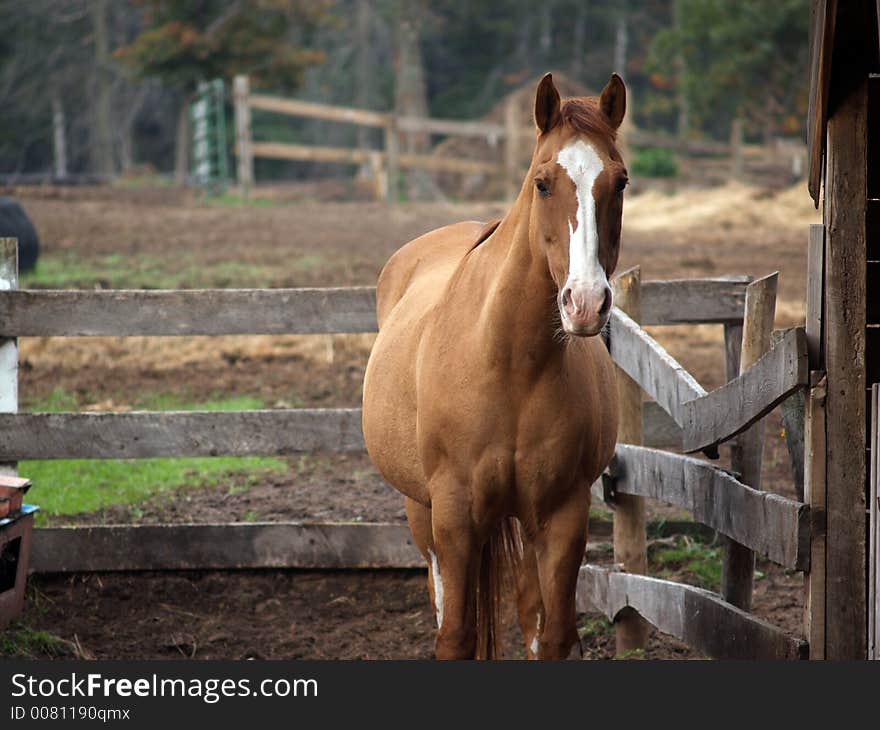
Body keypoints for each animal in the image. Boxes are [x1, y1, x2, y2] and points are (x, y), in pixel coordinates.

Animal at [362, 74, 624, 660]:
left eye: (619, 182)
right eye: (542, 183)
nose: (586, 302)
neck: (508, 365)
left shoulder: (561, 515)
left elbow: (553, 636)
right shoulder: (454, 516)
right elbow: (455, 635)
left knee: (529, 612)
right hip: (422, 511)